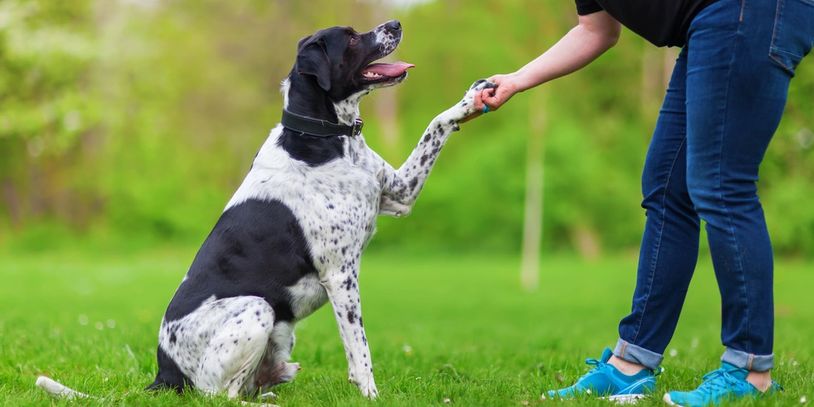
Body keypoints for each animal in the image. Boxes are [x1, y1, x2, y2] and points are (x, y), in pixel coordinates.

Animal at [36, 20, 498, 404]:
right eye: (350, 38)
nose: (396, 22)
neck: (324, 138)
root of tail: (164, 374)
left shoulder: (400, 194)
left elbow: (435, 125)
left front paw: (472, 99)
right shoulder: (340, 275)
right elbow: (360, 350)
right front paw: (370, 394)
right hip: (256, 309)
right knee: (218, 395)